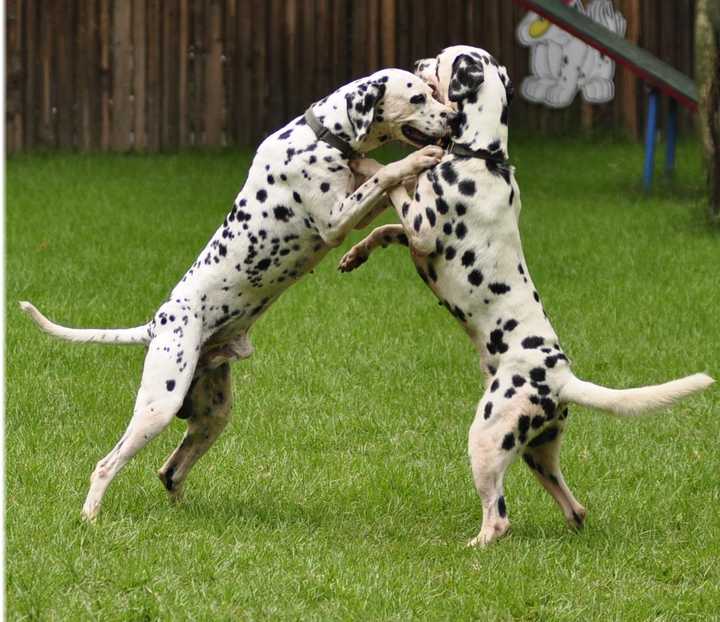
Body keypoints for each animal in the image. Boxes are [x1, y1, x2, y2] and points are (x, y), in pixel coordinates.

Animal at [21, 68, 456, 524]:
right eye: (418, 97)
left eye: (432, 92)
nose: (453, 117)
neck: (322, 135)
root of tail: (156, 325)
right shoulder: (335, 220)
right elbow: (385, 174)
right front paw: (416, 161)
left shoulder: (353, 213)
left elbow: (379, 183)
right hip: (158, 407)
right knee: (106, 465)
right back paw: (90, 516)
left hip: (214, 415)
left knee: (170, 471)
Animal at [338, 46, 716, 548]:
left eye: (441, 60)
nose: (418, 61)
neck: (481, 156)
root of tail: (560, 379)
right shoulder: (413, 236)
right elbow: (383, 229)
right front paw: (355, 253)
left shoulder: (421, 227)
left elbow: (390, 181)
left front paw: (368, 166)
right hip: (538, 453)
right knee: (576, 509)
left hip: (485, 438)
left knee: (499, 516)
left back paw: (475, 545)